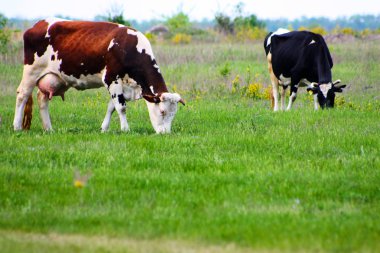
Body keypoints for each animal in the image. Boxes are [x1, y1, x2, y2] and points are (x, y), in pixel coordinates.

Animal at [14, 18, 186, 133]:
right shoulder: (111, 78)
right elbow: (121, 107)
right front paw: (125, 129)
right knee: (22, 95)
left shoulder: (122, 85)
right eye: (162, 112)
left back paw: (49, 129)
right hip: (31, 71)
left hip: (52, 77)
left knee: (42, 99)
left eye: (174, 114)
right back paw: (16, 127)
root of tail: (38, 24)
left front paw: (104, 128)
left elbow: (112, 107)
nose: (165, 134)